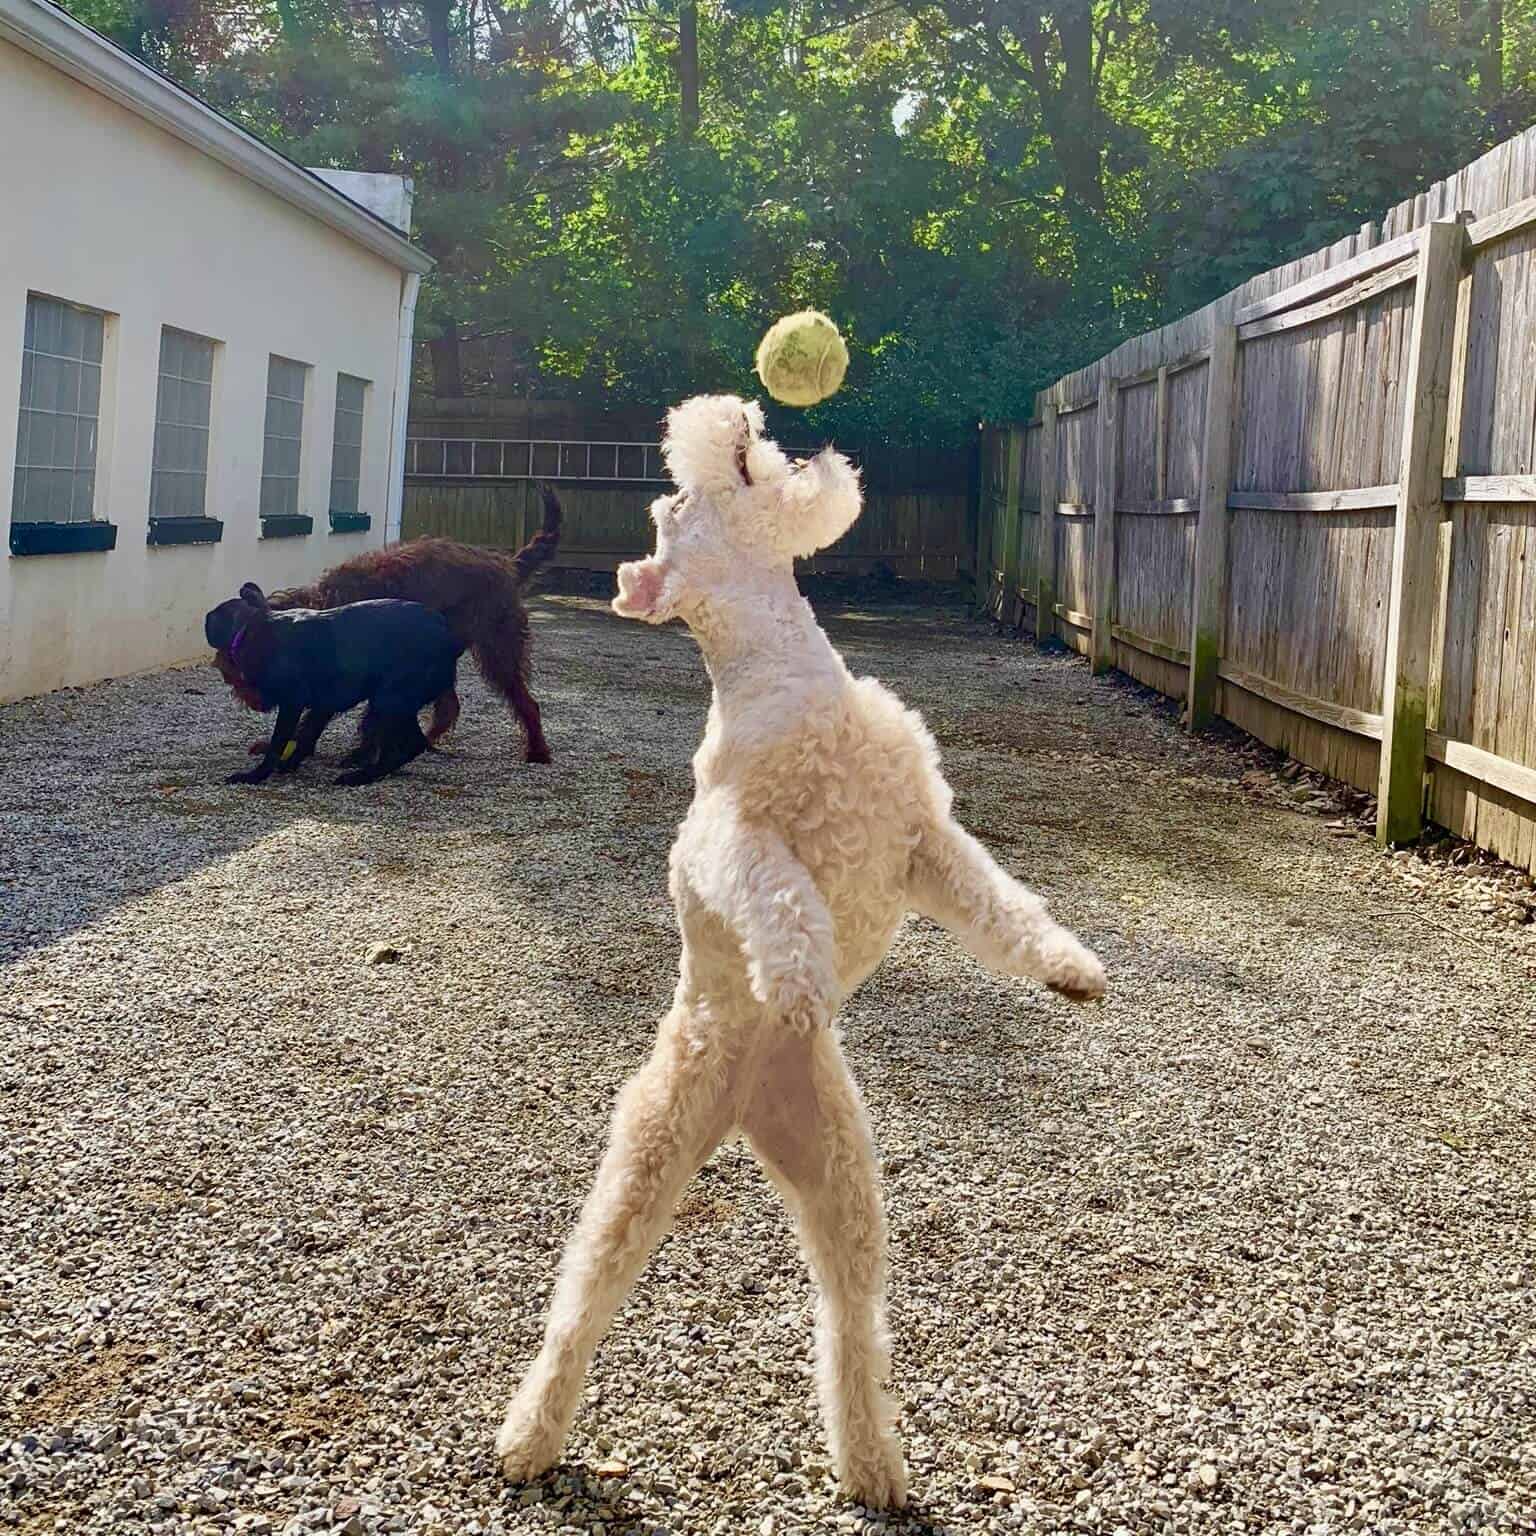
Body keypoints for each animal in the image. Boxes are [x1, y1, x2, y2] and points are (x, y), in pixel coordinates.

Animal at [207, 580, 463, 786]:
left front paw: (256, 776)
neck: (251, 627)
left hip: (390, 699)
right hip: (392, 704)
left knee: (411, 745)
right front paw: (289, 765)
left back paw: (360, 776)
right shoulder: (323, 705)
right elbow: (307, 735)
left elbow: (278, 743)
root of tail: (449, 637)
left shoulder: (292, 704)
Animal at [224, 485, 562, 761]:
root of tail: (506, 564)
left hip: (497, 650)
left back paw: (537, 751)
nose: (255, 702)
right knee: (448, 707)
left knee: (525, 703)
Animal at [497, 390, 1112, 1505]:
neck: (782, 668)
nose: (726, 412)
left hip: (842, 1179)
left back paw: (870, 1460)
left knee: (847, 1321)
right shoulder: (727, 839)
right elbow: (782, 896)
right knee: (584, 1296)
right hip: (648, 1157)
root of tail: (743, 1102)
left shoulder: (923, 842)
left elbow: (1003, 904)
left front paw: (1069, 967)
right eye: (677, 506)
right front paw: (796, 974)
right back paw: (530, 1436)